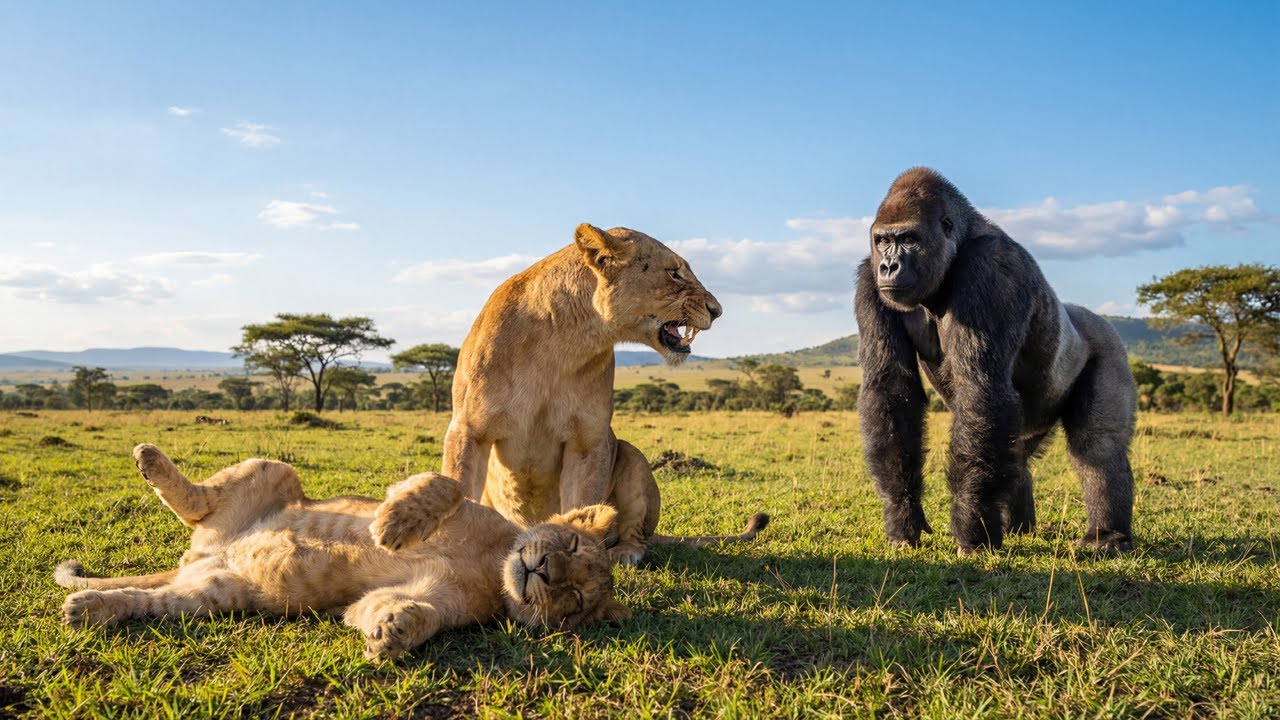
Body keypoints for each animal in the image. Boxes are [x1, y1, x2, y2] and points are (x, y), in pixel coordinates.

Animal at [56, 444, 629, 662]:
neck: (493, 564)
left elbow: (405, 612)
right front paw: (394, 525)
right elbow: (441, 485)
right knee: (196, 499)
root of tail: (206, 554)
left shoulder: (426, 599)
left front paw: (395, 631)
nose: (544, 570)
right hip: (273, 471)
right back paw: (149, 459)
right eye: (571, 544)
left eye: (575, 600)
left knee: (149, 602)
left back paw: (89, 608)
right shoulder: (467, 501)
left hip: (216, 597)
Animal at [443, 223, 767, 565]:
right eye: (675, 273)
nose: (717, 311)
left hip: (632, 455)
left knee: (637, 535)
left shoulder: (588, 441)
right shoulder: (469, 430)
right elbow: (459, 491)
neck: (561, 340)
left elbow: (582, 507)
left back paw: (623, 553)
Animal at [855, 167, 1135, 554]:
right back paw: (1019, 524)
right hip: (1029, 424)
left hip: (1109, 345)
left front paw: (971, 526)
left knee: (1097, 445)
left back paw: (1107, 536)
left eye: (909, 239)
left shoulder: (991, 268)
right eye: (883, 241)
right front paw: (902, 516)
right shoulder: (869, 280)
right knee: (1014, 455)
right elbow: (891, 389)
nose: (889, 265)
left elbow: (980, 386)